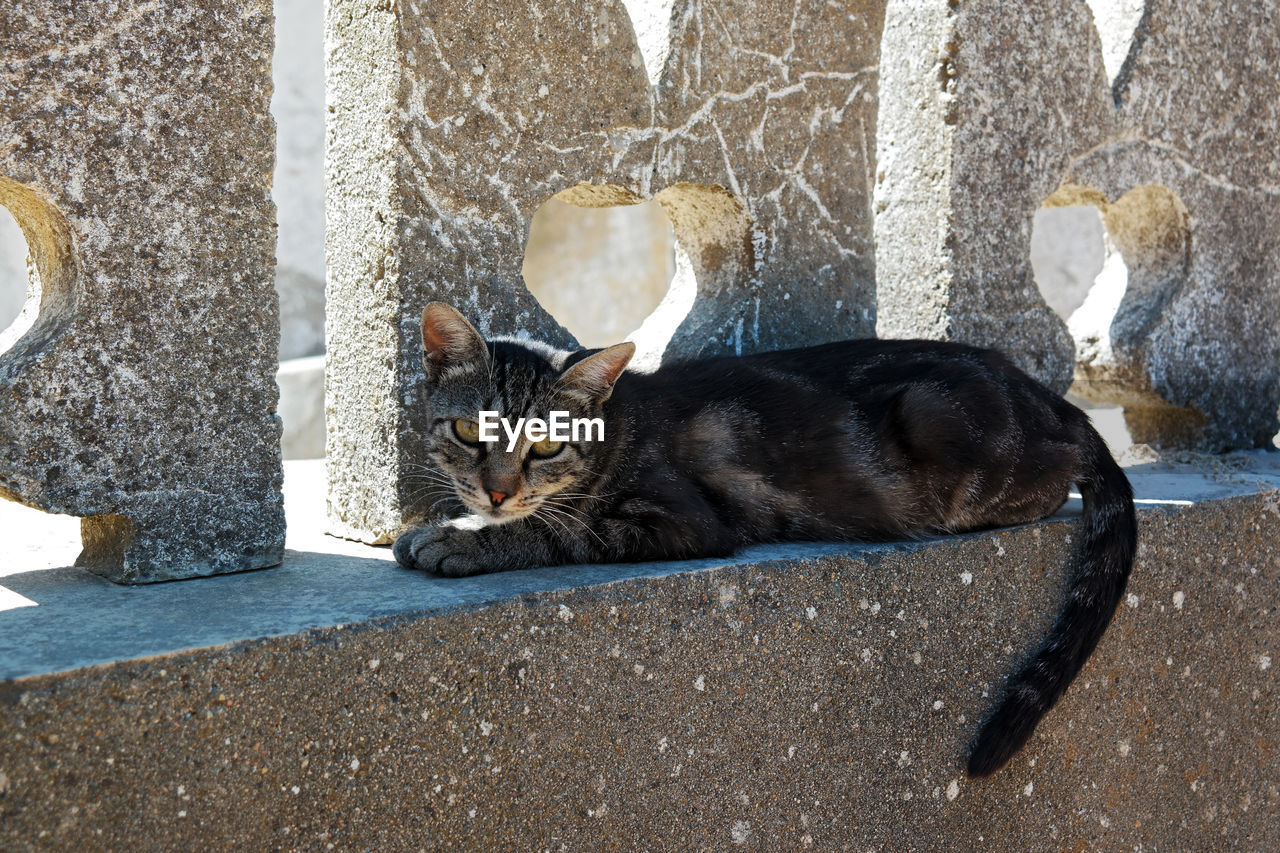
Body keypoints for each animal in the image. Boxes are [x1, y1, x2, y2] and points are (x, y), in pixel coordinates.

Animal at [394, 302, 1136, 773]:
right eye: (469, 431)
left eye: (546, 445)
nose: (497, 490)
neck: (619, 426)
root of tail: (1052, 399)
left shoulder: (680, 519)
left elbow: (558, 530)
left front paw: (461, 538)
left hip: (942, 422)